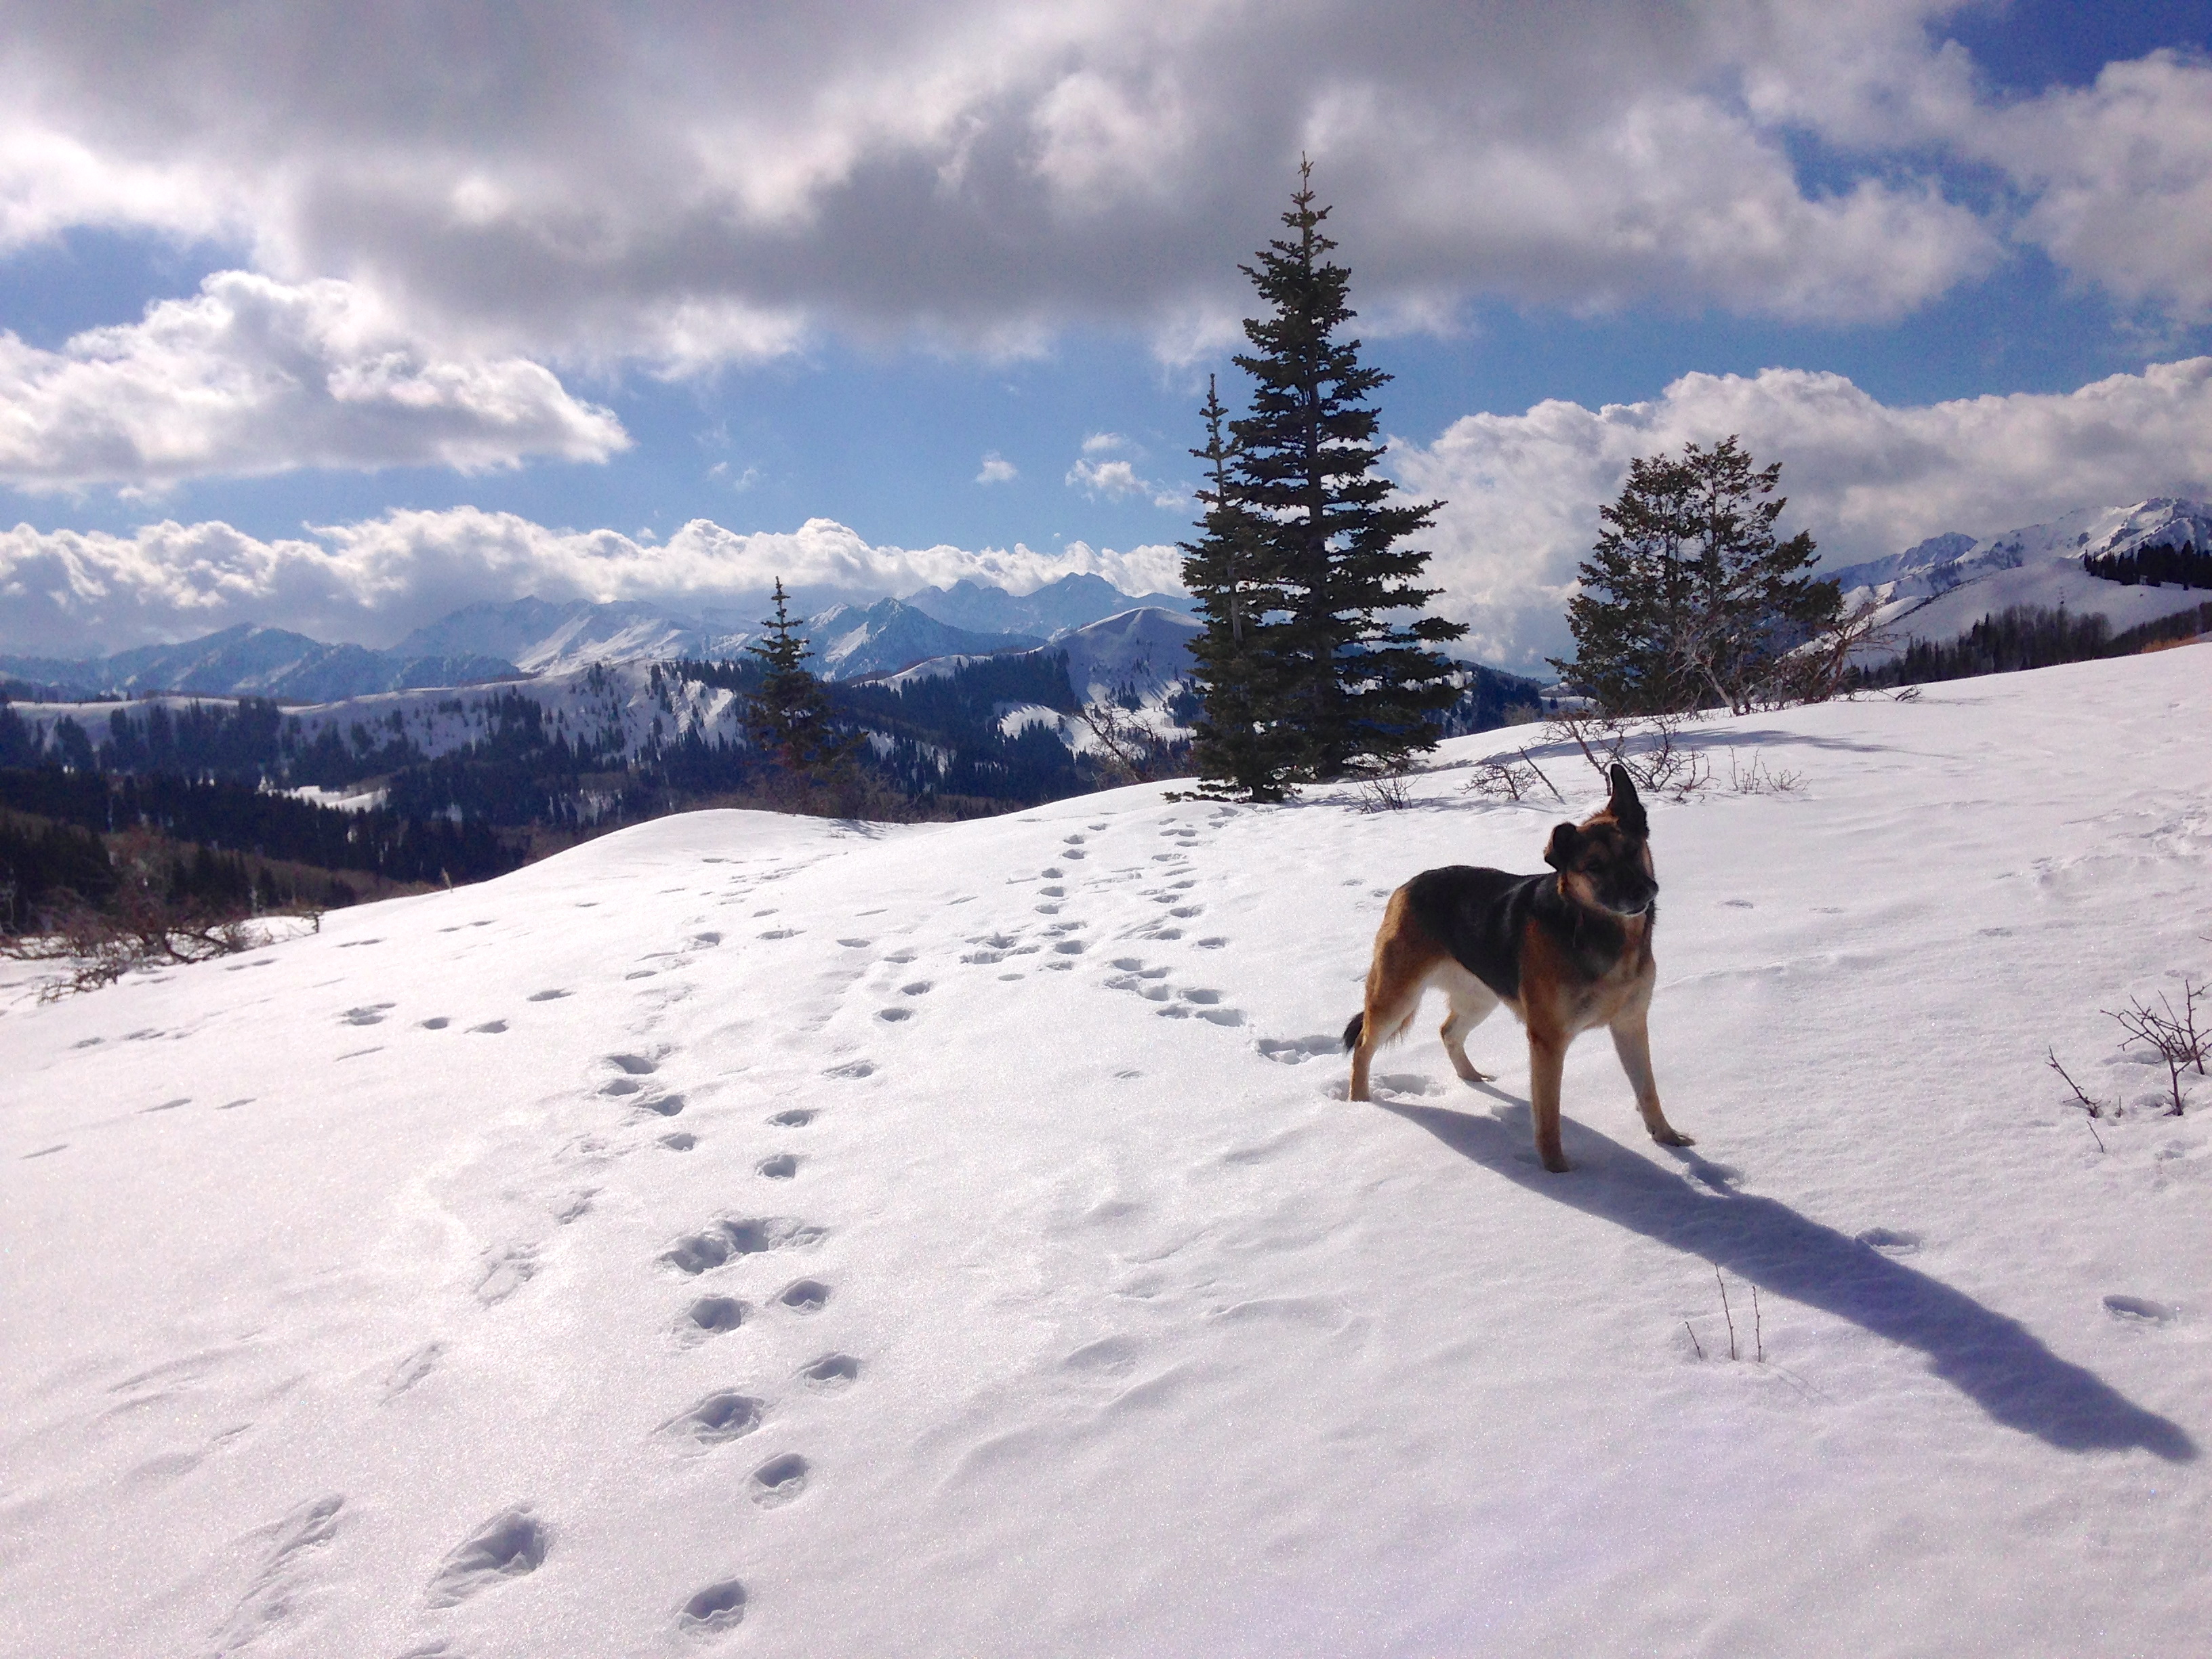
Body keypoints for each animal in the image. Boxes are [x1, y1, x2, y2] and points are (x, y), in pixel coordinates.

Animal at [1343, 762, 1691, 1172]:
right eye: (1594, 867)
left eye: (1633, 851)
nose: (1641, 892)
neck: (1597, 930)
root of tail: (1405, 887)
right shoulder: (1548, 1041)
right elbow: (1549, 1116)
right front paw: (1559, 1173)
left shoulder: (1630, 1024)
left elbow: (1648, 1090)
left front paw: (1669, 1140)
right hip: (1397, 997)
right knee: (1363, 1045)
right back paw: (1360, 1105)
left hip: (1480, 999)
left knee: (1448, 1032)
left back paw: (1474, 1080)